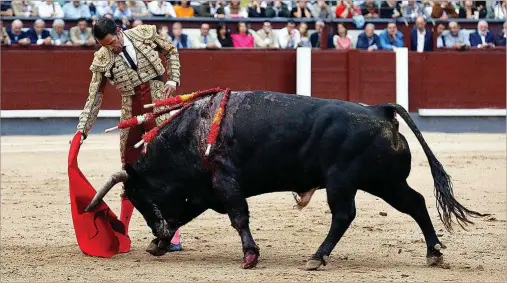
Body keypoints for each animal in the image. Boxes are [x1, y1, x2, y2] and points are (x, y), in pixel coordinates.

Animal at [85, 91, 486, 270]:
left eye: (141, 197)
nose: (157, 240)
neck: (191, 136)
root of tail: (380, 111)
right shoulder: (208, 191)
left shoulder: (226, 181)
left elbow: (239, 217)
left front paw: (250, 256)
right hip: (385, 182)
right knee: (415, 202)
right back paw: (433, 252)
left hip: (343, 182)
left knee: (344, 215)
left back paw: (317, 257)